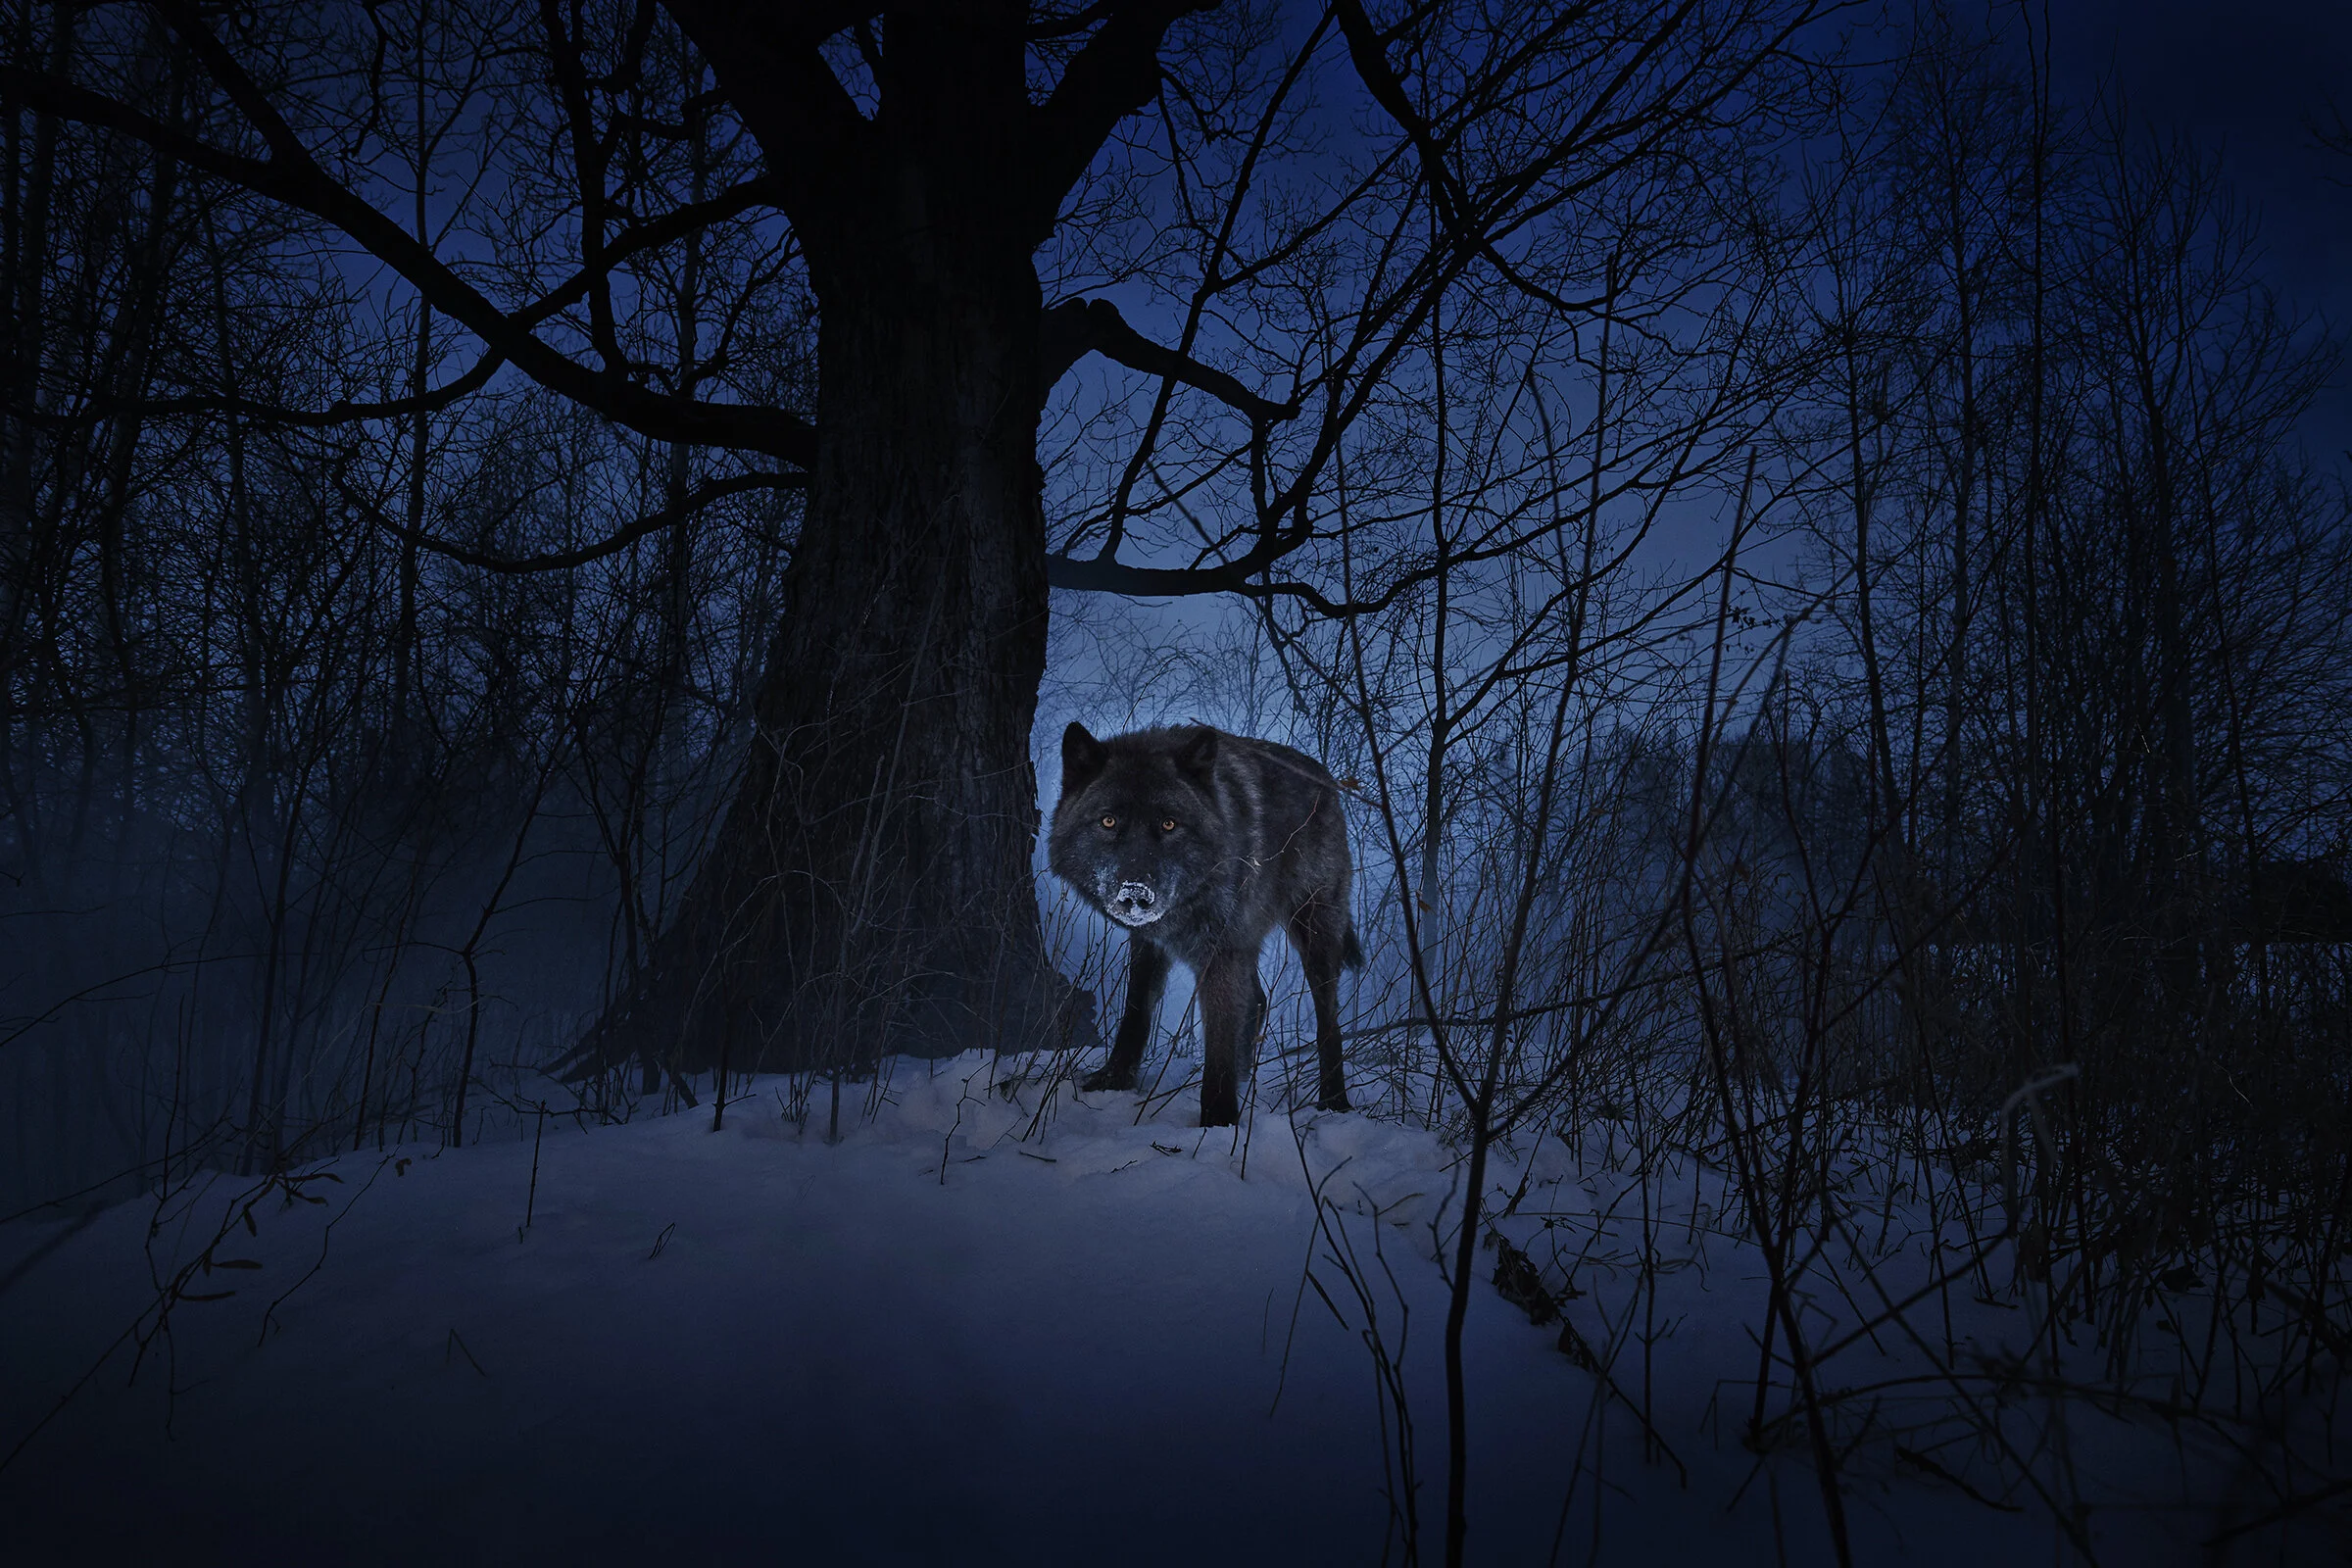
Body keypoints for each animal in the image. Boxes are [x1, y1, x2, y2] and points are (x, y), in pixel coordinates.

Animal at [1048, 723, 1363, 1126]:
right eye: (1108, 820)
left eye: (1169, 824)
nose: (1136, 893)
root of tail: (1324, 778)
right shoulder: (1151, 942)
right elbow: (1136, 1012)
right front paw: (1112, 1081)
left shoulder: (1221, 953)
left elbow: (1219, 1038)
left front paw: (1219, 1118)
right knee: (1258, 1000)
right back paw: (1247, 1078)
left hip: (1313, 931)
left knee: (1329, 1021)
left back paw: (1335, 1101)